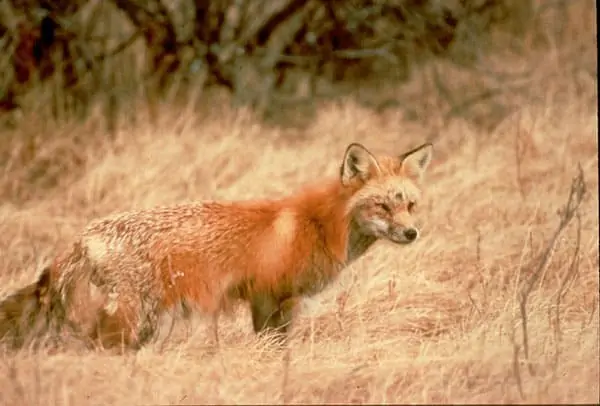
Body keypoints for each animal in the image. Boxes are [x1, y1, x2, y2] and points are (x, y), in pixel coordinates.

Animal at [0, 142, 434, 348]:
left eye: (410, 205)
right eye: (382, 205)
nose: (412, 234)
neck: (318, 224)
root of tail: (79, 239)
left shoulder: (276, 302)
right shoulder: (270, 298)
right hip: (130, 321)